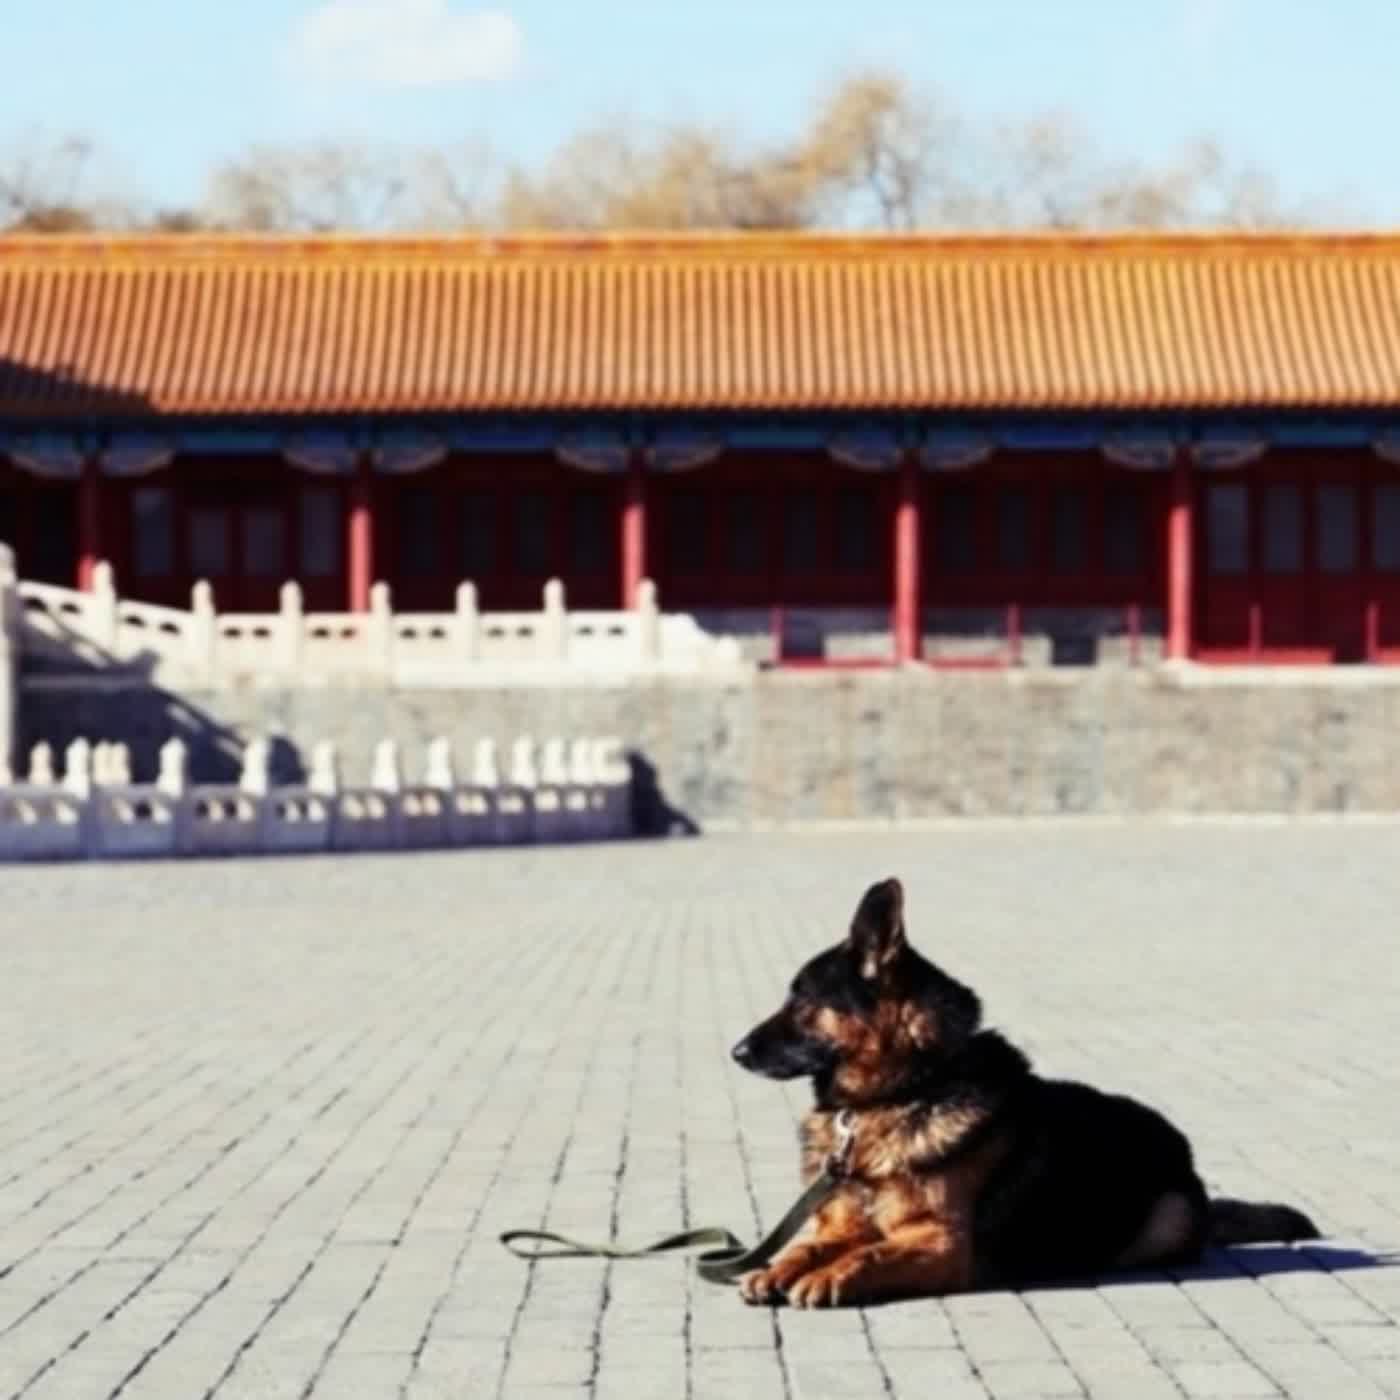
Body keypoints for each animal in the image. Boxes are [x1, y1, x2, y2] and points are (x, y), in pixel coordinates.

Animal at [728, 879, 1316, 1304]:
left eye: (803, 1001)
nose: (736, 1051)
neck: (906, 1092)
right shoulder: (842, 1225)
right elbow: (806, 1246)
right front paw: (780, 1267)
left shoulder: (942, 1244)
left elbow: (869, 1255)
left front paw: (831, 1274)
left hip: (1161, 1225)